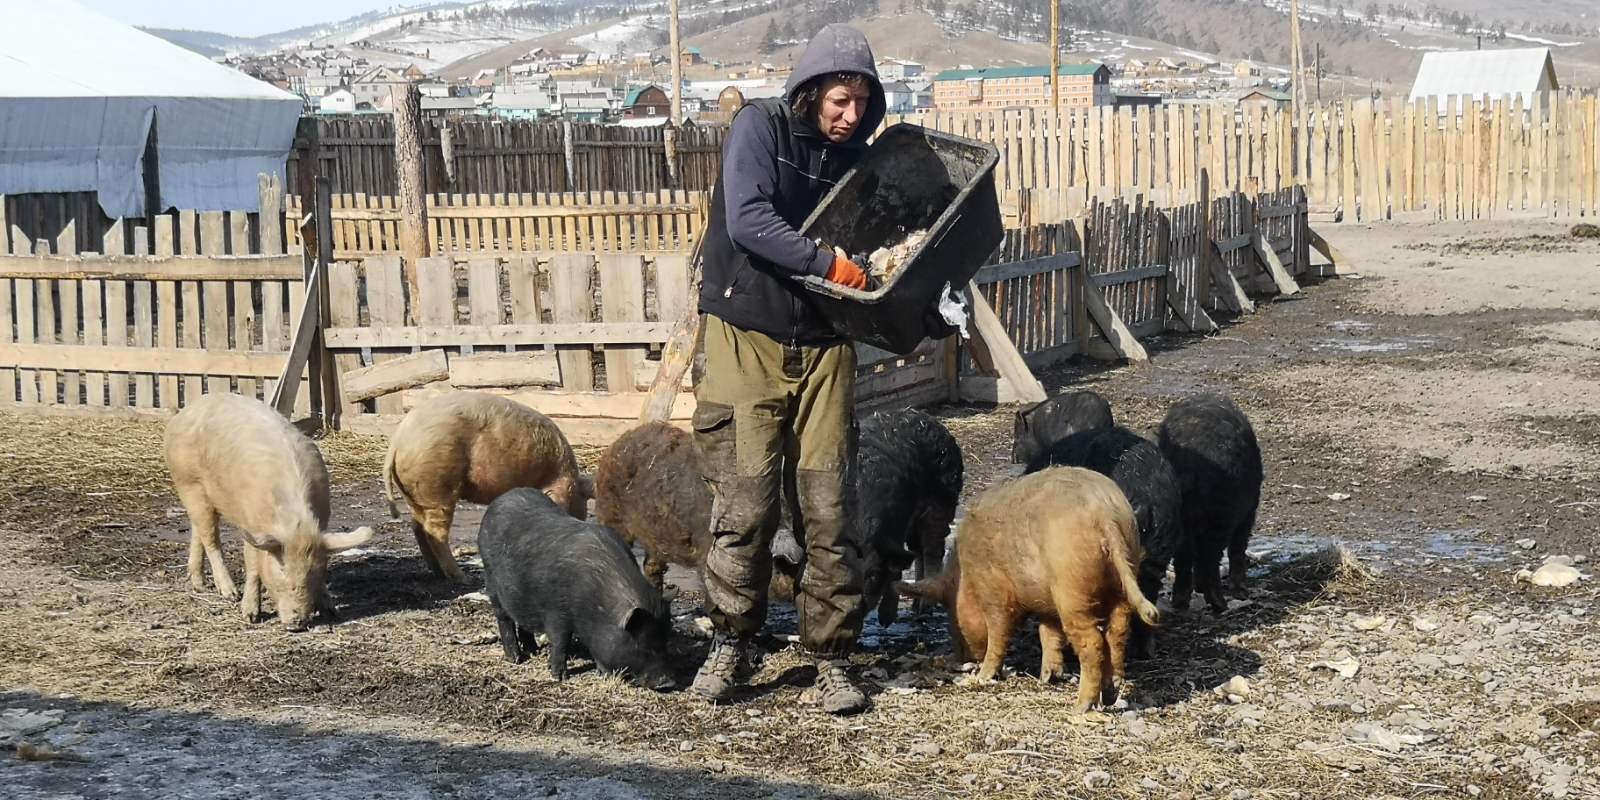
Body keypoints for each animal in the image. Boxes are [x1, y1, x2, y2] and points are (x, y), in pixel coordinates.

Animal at [473, 483, 675, 691]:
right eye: (641, 643)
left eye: (665, 640)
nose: (668, 683)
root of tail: (500, 499)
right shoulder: (556, 612)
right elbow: (560, 641)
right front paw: (559, 677)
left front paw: (602, 673)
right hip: (491, 580)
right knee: (503, 618)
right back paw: (516, 659)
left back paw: (534, 652)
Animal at [1158, 393, 1267, 611]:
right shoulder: (1248, 513)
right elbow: (1237, 547)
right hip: (1222, 515)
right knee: (1211, 556)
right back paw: (1220, 604)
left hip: (1181, 518)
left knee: (1184, 556)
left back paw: (1180, 602)